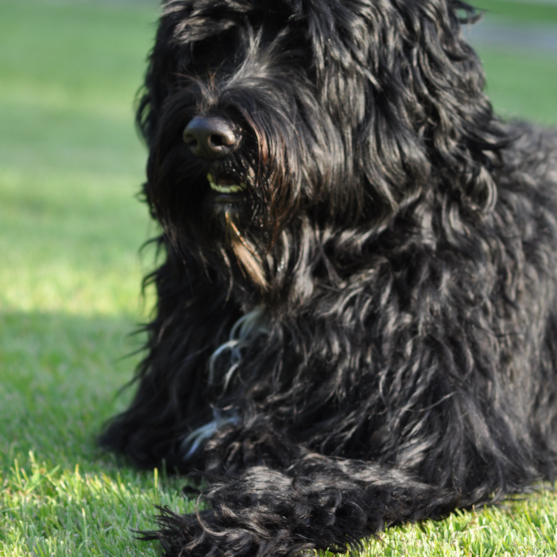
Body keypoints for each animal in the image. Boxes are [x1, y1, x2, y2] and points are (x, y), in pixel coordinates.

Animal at [100, 0, 556, 552]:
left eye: (304, 49)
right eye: (207, 46)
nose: (207, 135)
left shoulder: (446, 447)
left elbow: (339, 477)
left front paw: (238, 520)